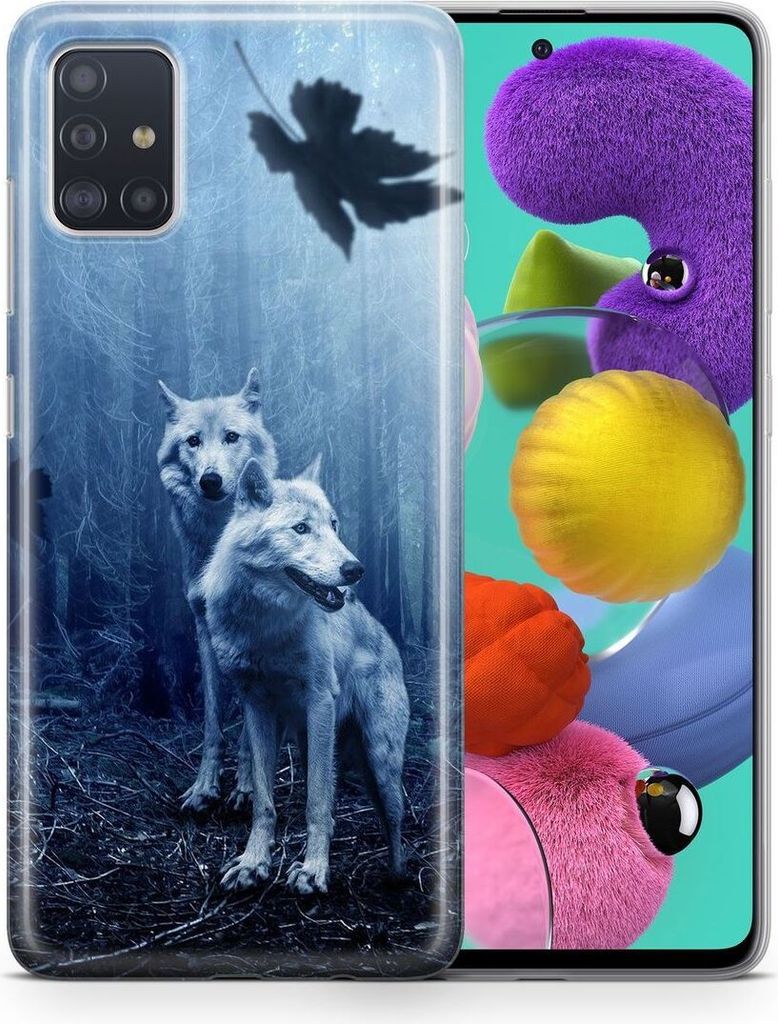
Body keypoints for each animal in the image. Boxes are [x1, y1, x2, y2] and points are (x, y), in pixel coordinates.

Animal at [157, 369, 278, 814]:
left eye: (231, 436)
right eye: (193, 440)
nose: (210, 480)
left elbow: (249, 730)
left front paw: (246, 789)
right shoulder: (204, 629)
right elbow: (212, 721)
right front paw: (204, 788)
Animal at [196, 455, 409, 894]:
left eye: (334, 524)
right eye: (300, 528)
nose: (355, 569)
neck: (265, 628)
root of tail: (388, 640)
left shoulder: (319, 701)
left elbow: (316, 804)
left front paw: (313, 871)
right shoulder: (256, 707)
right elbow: (264, 801)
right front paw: (253, 864)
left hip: (379, 758)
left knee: (394, 818)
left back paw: (397, 877)